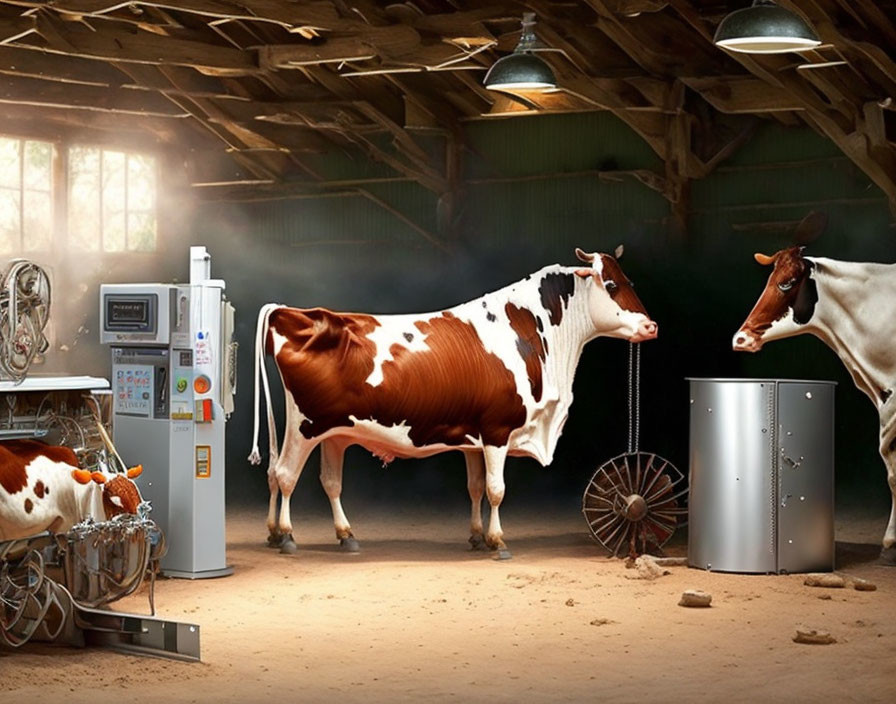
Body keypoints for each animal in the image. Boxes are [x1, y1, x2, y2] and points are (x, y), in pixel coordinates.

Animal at [250, 245, 656, 560]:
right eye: (611, 285)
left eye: (632, 282)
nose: (650, 327)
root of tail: (294, 312)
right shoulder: (497, 429)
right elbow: (496, 489)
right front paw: (498, 542)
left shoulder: (473, 438)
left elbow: (475, 487)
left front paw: (477, 536)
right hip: (305, 426)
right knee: (284, 475)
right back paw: (286, 535)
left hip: (334, 434)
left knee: (324, 481)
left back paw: (339, 536)